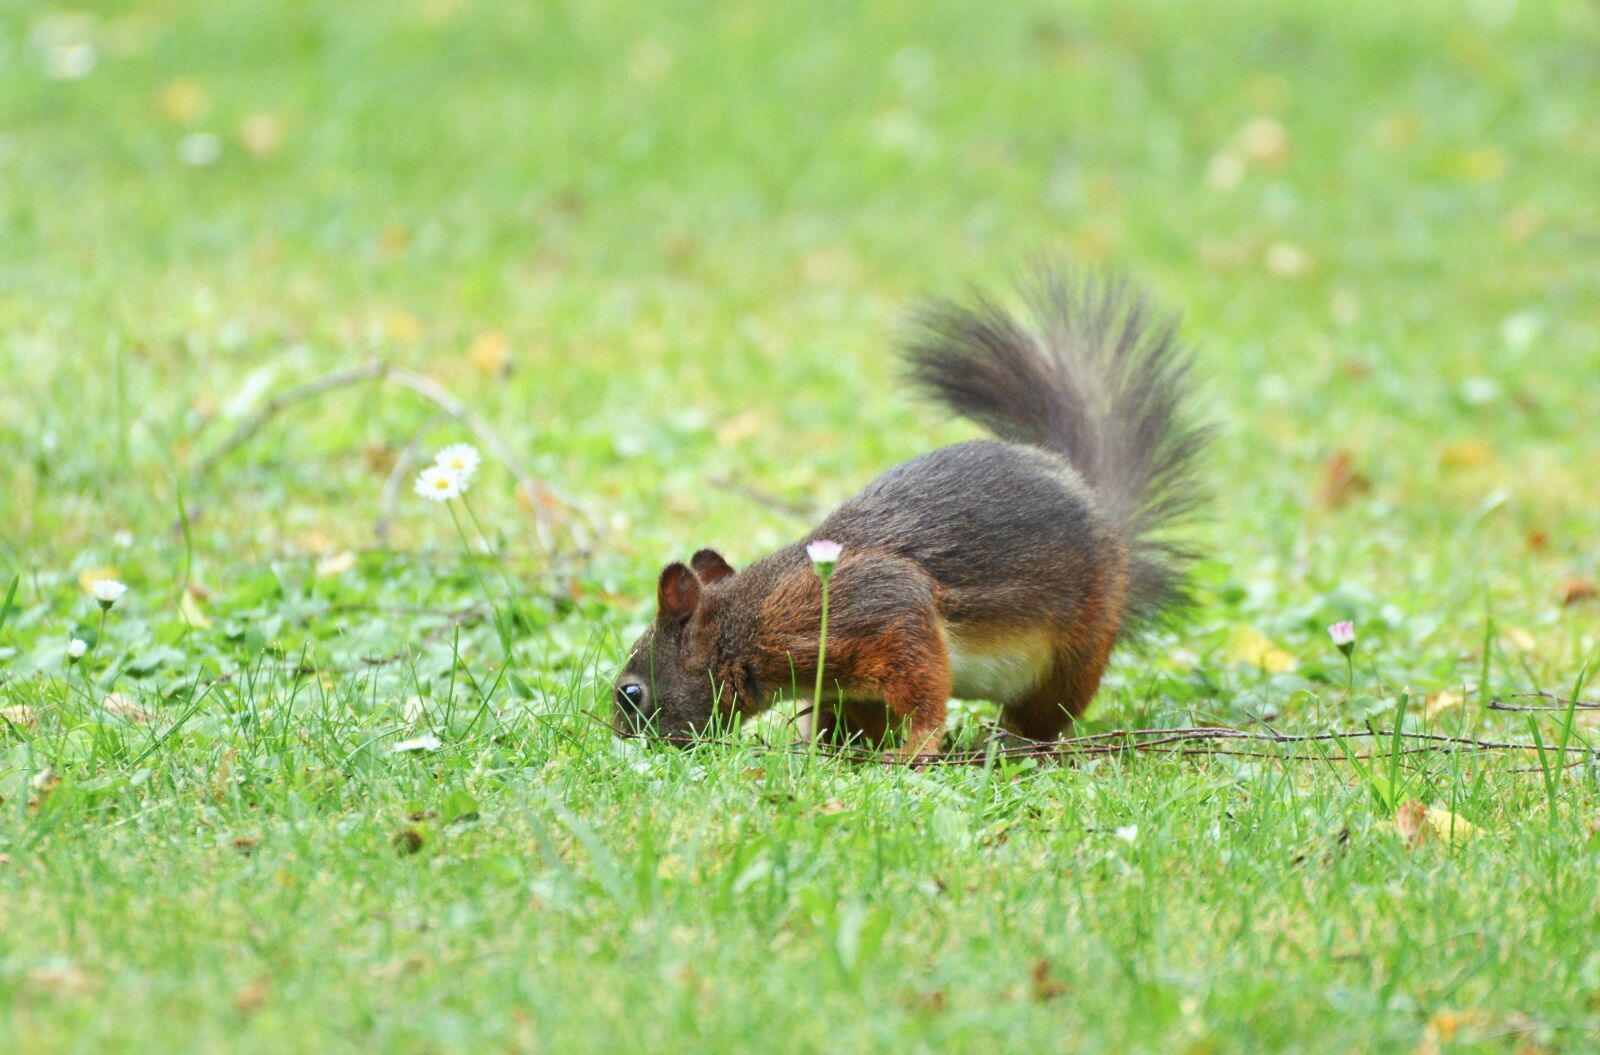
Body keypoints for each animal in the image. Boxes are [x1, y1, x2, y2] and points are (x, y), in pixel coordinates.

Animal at [613, 265, 1209, 761]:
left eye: (630, 693)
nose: (617, 739)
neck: (751, 622)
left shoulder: (882, 611)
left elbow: (923, 692)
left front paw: (912, 752)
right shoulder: (847, 682)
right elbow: (855, 717)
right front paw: (825, 749)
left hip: (1076, 652)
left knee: (1044, 716)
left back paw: (1012, 744)